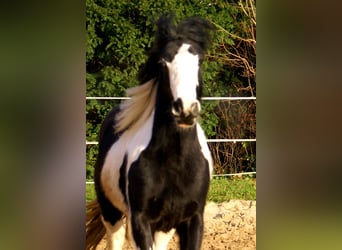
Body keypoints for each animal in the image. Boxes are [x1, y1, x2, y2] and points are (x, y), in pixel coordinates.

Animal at [86, 15, 214, 250]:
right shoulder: (140, 219)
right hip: (111, 212)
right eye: (163, 62)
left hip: (165, 226)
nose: (185, 109)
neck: (176, 163)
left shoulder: (193, 218)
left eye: (199, 61)